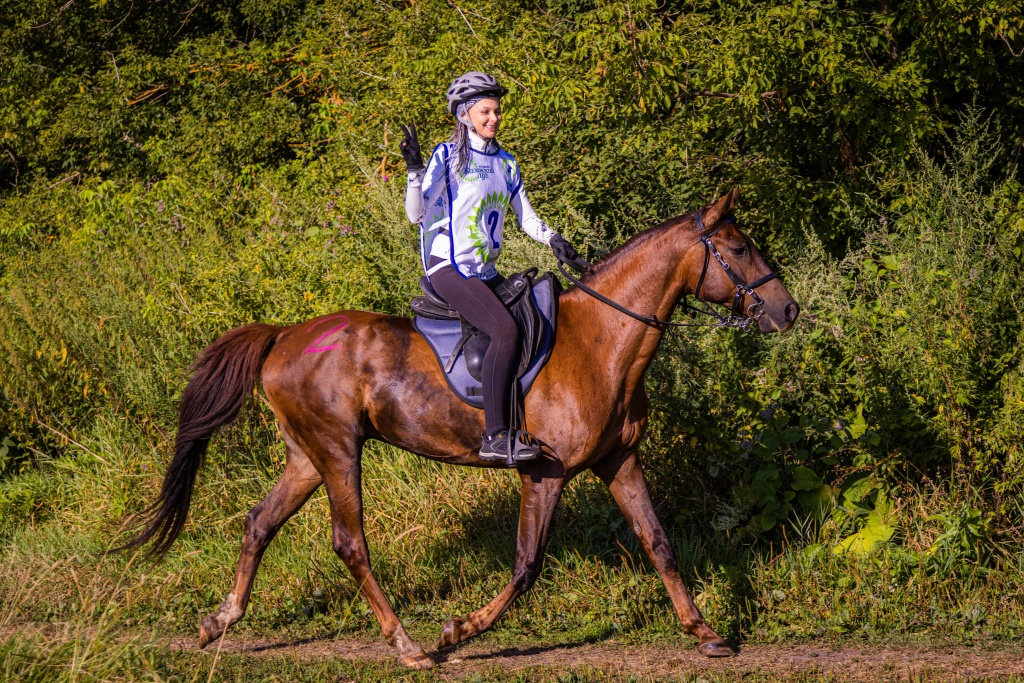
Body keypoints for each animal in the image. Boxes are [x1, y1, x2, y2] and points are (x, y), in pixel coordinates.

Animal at [125, 187, 798, 667]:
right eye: (739, 249)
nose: (787, 310)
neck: (603, 342)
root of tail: (284, 335)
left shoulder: (618, 461)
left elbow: (658, 542)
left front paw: (705, 631)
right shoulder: (544, 473)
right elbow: (527, 565)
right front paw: (458, 629)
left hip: (306, 456)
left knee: (259, 523)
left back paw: (220, 621)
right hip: (338, 450)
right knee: (350, 543)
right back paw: (408, 646)